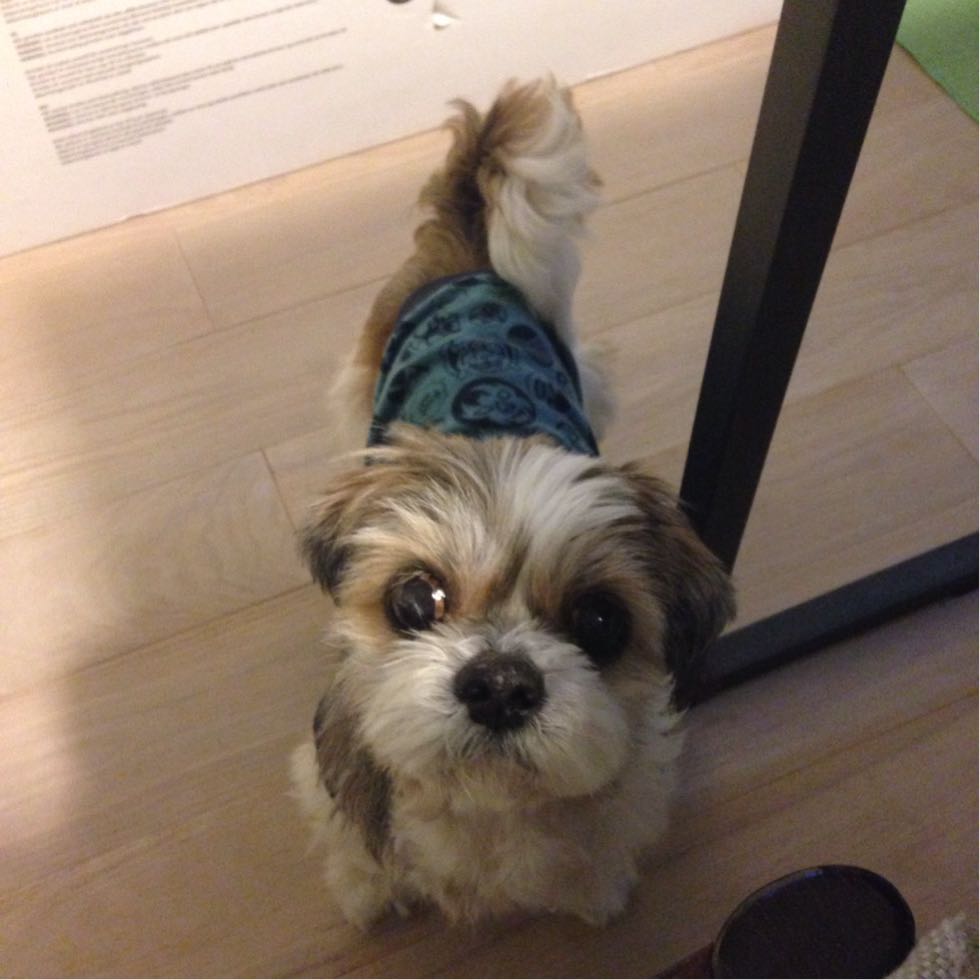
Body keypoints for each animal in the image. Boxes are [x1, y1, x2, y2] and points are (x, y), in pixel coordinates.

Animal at [291, 78, 734, 929]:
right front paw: (367, 895)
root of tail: (469, 261)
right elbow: (358, 859)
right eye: (414, 599)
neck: (488, 810)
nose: (499, 681)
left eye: (601, 621)